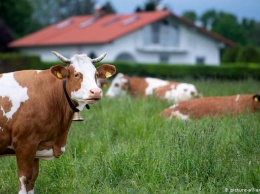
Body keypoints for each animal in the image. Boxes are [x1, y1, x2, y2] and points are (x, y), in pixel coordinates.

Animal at [0, 50, 116, 193]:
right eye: (76, 74)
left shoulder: (37, 145)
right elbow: (24, 178)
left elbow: (32, 178)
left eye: (95, 74)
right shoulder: (24, 143)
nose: (96, 92)